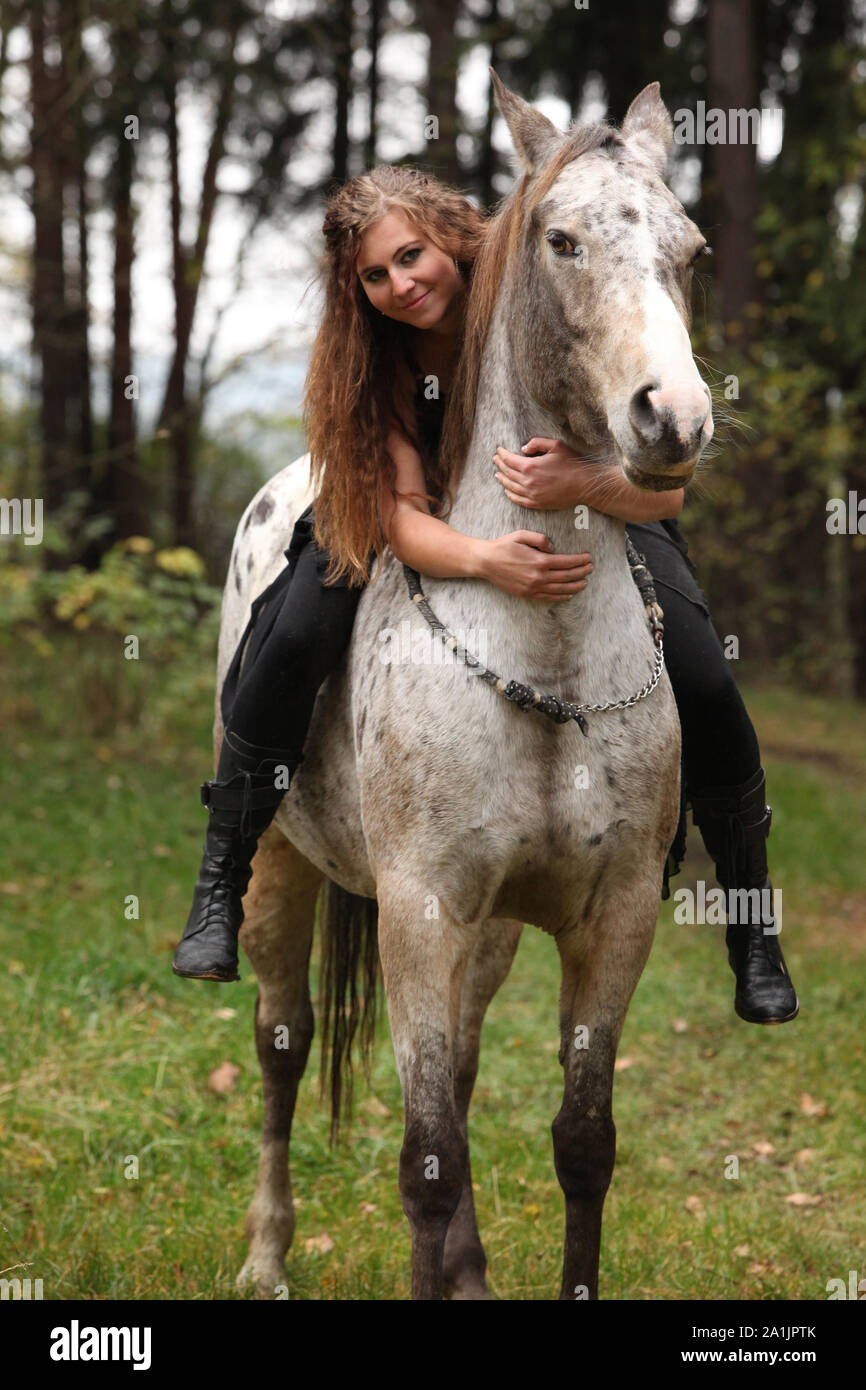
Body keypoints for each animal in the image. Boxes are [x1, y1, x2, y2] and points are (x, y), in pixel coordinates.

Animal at [217, 72, 712, 1300]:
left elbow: (580, 1142)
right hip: (281, 872)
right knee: (283, 1045)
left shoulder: (610, 918)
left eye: (688, 248)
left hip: (484, 938)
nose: (673, 418)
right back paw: (266, 1255)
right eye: (562, 240)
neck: (542, 666)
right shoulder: (420, 912)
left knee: (467, 1068)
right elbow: (426, 1158)